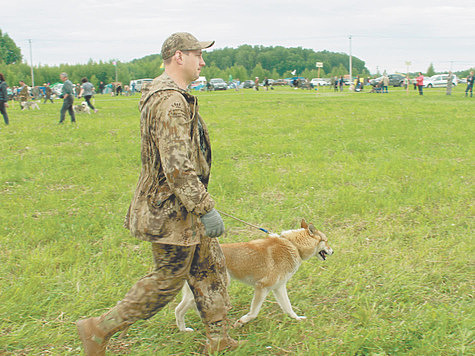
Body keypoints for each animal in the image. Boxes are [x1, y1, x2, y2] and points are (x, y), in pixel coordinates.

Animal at [175, 218, 334, 332]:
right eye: (326, 241)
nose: (333, 251)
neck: (293, 245)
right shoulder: (262, 287)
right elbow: (253, 313)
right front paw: (241, 322)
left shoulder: (279, 287)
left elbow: (288, 308)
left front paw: (297, 319)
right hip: (212, 290)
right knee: (180, 310)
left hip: (197, 294)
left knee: (179, 309)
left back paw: (185, 330)